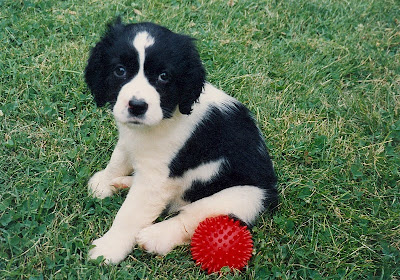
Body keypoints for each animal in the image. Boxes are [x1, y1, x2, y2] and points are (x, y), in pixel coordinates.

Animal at [84, 19, 278, 264]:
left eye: (164, 76)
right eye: (120, 71)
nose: (137, 106)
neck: (165, 116)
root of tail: (271, 189)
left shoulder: (156, 177)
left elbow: (130, 213)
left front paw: (108, 248)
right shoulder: (130, 141)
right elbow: (118, 158)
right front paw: (104, 182)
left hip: (242, 197)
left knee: (192, 216)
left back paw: (156, 236)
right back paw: (124, 183)